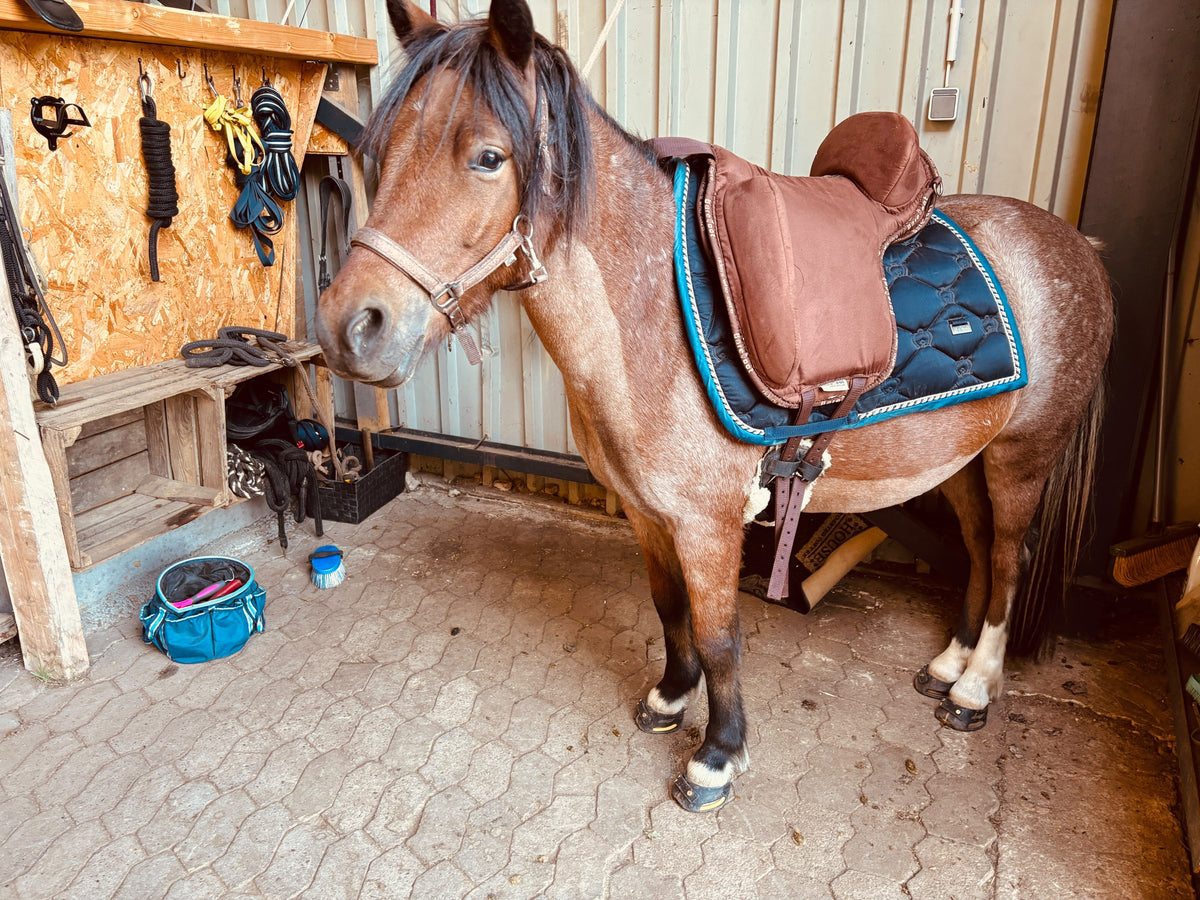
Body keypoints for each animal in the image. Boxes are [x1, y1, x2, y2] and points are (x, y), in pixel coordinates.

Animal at [316, 0, 1113, 813]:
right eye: (377, 152)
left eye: (487, 157)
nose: (351, 327)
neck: (651, 317)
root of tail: (1078, 246)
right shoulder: (646, 511)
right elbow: (671, 611)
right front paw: (670, 699)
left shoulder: (708, 522)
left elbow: (720, 635)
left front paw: (718, 755)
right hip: (964, 459)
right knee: (981, 549)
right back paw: (950, 664)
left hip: (1022, 457)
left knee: (1010, 558)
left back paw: (976, 690)